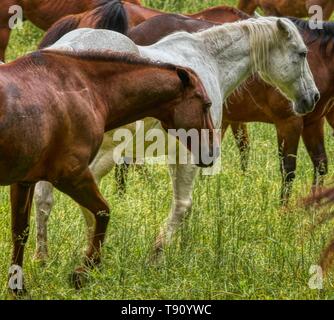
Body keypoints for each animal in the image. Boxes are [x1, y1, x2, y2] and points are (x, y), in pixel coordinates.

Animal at [1, 48, 217, 294]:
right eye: (206, 105)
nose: (212, 152)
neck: (85, 91)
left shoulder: (24, 181)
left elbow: (20, 232)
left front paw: (17, 287)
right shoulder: (71, 176)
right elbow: (103, 213)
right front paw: (83, 272)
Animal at [34, 17, 318, 262]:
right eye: (302, 53)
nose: (313, 97)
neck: (209, 61)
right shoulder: (189, 155)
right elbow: (183, 206)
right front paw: (157, 256)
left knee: (44, 199)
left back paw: (43, 258)